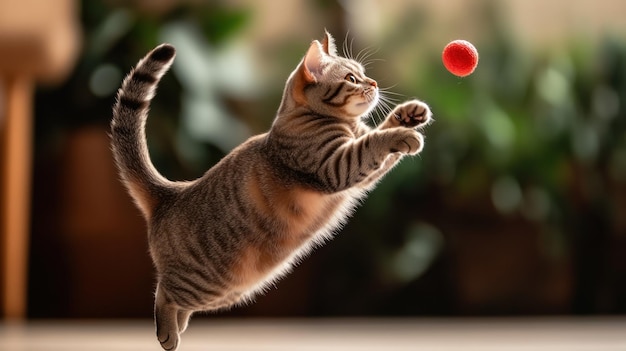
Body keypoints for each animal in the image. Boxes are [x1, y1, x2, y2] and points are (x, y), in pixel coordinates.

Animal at [109, 31, 428, 350]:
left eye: (363, 73)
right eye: (351, 78)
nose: (373, 83)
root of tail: (171, 193)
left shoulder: (359, 168)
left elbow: (377, 137)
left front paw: (408, 115)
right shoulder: (337, 166)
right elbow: (374, 141)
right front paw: (403, 133)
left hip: (227, 291)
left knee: (178, 302)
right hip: (206, 283)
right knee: (164, 293)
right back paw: (167, 333)